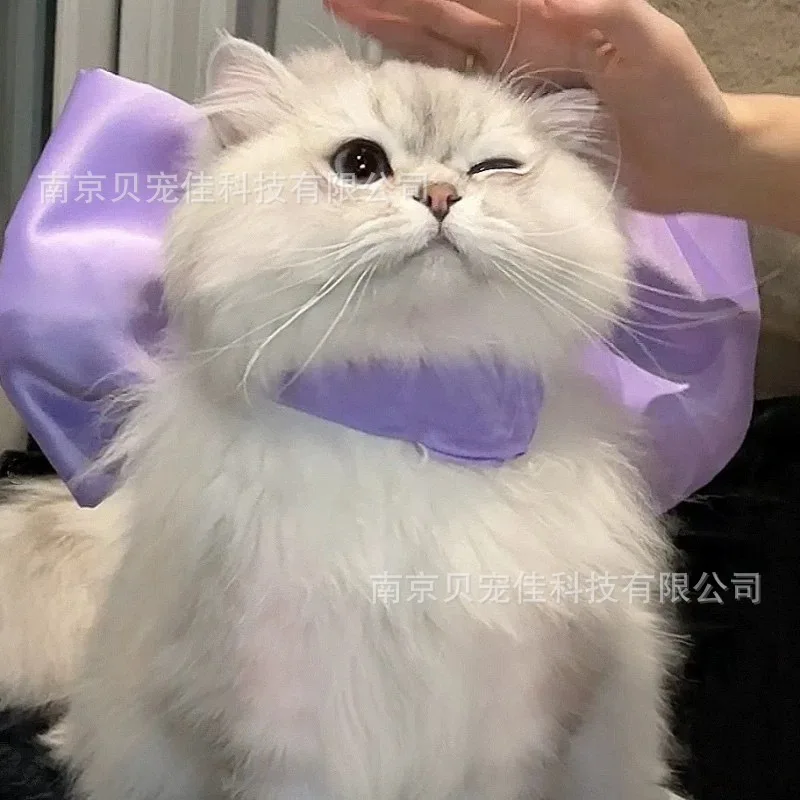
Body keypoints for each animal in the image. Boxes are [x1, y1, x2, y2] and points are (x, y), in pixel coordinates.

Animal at [0, 35, 682, 800]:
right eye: (360, 164)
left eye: (493, 169)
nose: (442, 195)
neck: (414, 413)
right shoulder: (283, 725)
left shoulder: (514, 727)